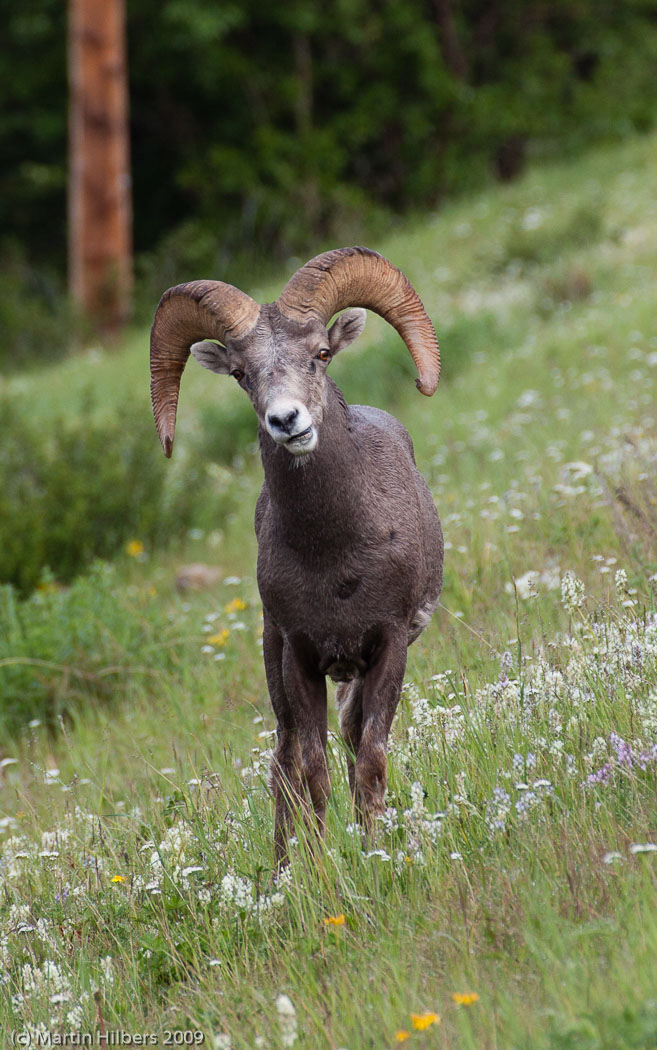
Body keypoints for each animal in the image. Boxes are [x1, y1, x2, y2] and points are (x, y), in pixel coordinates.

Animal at [150, 246, 443, 863]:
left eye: (321, 354)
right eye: (242, 374)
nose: (287, 420)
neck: (334, 561)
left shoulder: (389, 645)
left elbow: (369, 758)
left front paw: (372, 851)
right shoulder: (298, 655)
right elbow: (312, 770)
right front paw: (320, 863)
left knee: (349, 736)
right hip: (273, 658)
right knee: (283, 760)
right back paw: (284, 865)